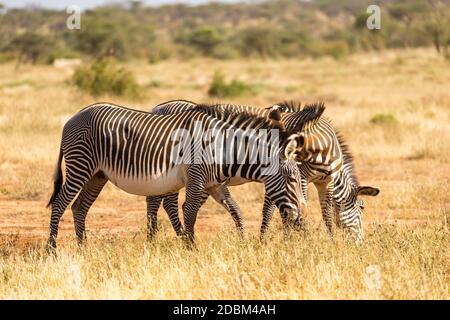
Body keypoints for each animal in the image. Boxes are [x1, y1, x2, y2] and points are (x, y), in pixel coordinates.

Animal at [46, 101, 324, 249]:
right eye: (291, 180)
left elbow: (235, 209)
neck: (222, 148)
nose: (303, 219)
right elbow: (189, 212)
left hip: (97, 175)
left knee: (80, 207)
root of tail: (73, 116)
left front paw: (244, 241)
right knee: (60, 204)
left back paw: (83, 248)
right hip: (80, 166)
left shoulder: (214, 184)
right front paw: (190, 249)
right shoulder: (196, 178)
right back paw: (52, 250)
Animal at [148, 99, 380, 241]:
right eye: (362, 208)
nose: (359, 244)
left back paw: (163, 236)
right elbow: (279, 208)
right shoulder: (300, 177)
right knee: (163, 202)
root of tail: (157, 108)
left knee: (162, 201)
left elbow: (326, 214)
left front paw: (329, 241)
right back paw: (161, 237)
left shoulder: (323, 182)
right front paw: (289, 239)